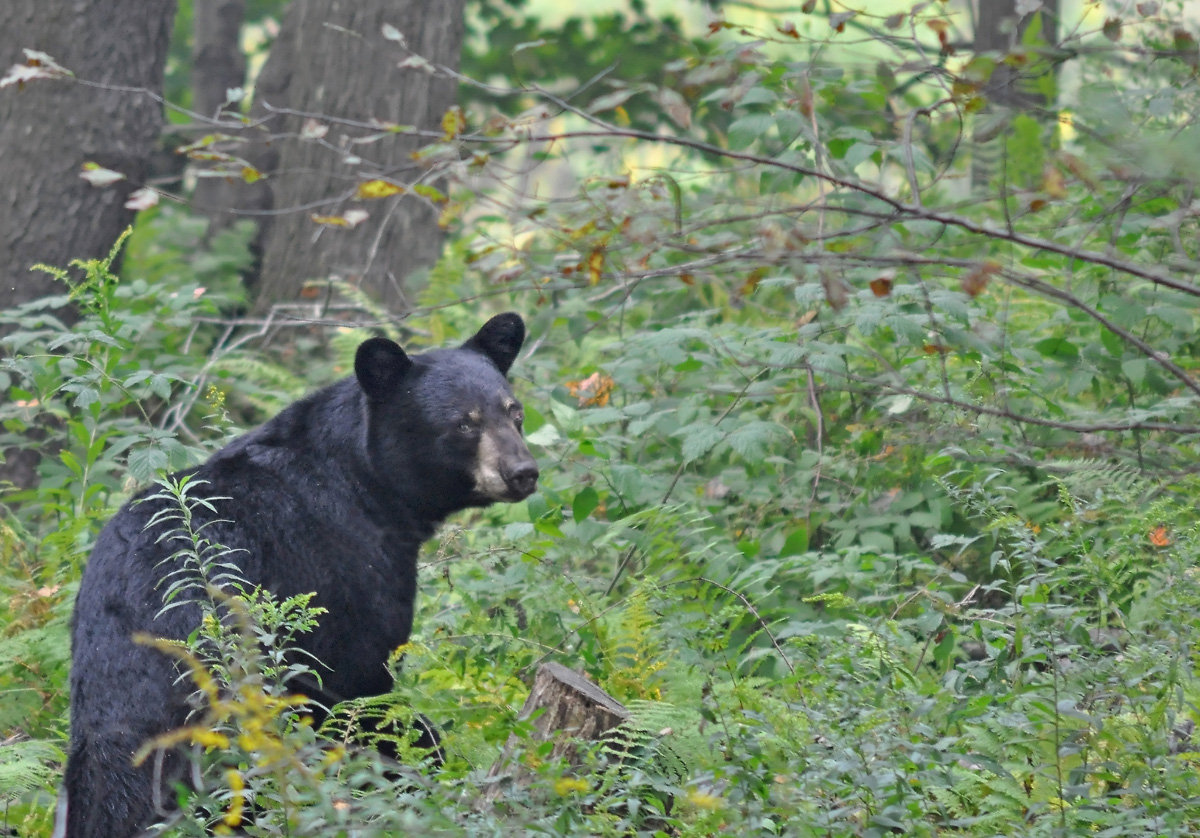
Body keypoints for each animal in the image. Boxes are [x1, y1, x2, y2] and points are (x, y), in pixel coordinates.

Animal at [59, 312, 540, 835]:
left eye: (513, 412)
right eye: (464, 423)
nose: (522, 471)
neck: (367, 481)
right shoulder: (348, 569)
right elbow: (364, 680)